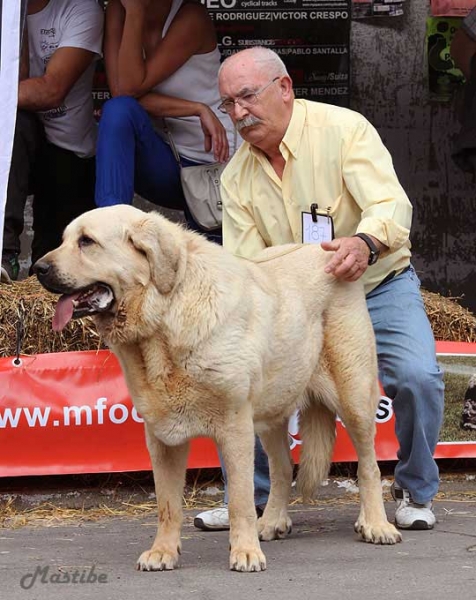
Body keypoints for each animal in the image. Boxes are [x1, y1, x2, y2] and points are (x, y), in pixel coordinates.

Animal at [33, 205, 402, 572]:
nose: (38, 268)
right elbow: (168, 504)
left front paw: (245, 552)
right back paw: (272, 522)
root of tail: (324, 251)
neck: (164, 317)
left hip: (353, 398)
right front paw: (163, 552)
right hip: (271, 410)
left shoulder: (235, 427)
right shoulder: (161, 438)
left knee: (368, 465)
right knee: (282, 468)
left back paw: (376, 525)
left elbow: (240, 499)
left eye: (87, 241)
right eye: (65, 239)